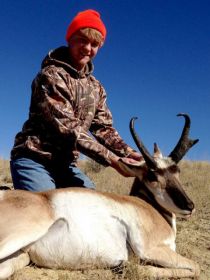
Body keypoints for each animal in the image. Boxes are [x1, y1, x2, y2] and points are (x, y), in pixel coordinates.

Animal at [0, 113, 200, 278]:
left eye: (177, 170)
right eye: (152, 175)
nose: (189, 206)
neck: (148, 206)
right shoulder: (151, 250)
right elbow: (196, 267)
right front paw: (123, 267)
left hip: (21, 257)